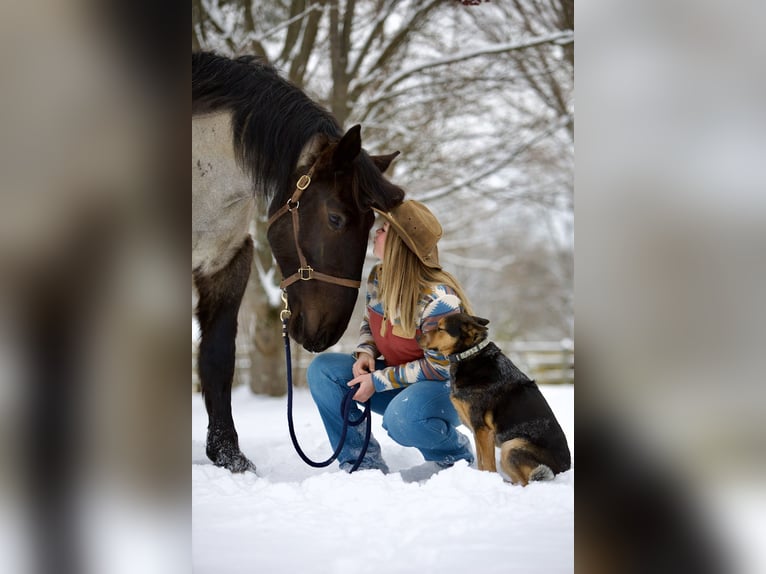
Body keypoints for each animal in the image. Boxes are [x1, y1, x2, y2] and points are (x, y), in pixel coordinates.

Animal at [194, 50, 408, 472]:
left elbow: (217, 357)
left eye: (372, 225)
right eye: (335, 218)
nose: (325, 332)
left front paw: (229, 456)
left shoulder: (225, 262)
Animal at [424, 316, 572, 486]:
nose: (418, 335)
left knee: (527, 482)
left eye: (440, 328)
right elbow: (482, 463)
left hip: (512, 446)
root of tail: (564, 469)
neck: (470, 355)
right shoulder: (477, 430)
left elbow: (488, 465)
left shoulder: (483, 429)